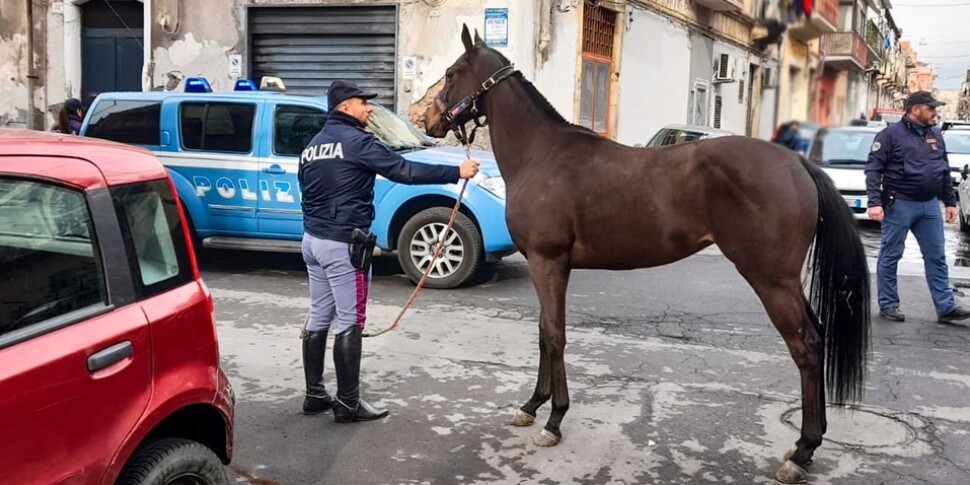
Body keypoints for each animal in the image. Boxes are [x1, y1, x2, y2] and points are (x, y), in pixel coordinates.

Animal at [424, 27, 868, 484]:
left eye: (452, 73)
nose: (429, 120)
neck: (540, 154)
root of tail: (797, 163)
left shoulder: (549, 263)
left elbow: (555, 335)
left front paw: (554, 420)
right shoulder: (545, 265)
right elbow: (545, 333)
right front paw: (533, 406)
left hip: (771, 280)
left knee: (807, 346)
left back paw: (802, 451)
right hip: (785, 282)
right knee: (817, 337)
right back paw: (806, 447)